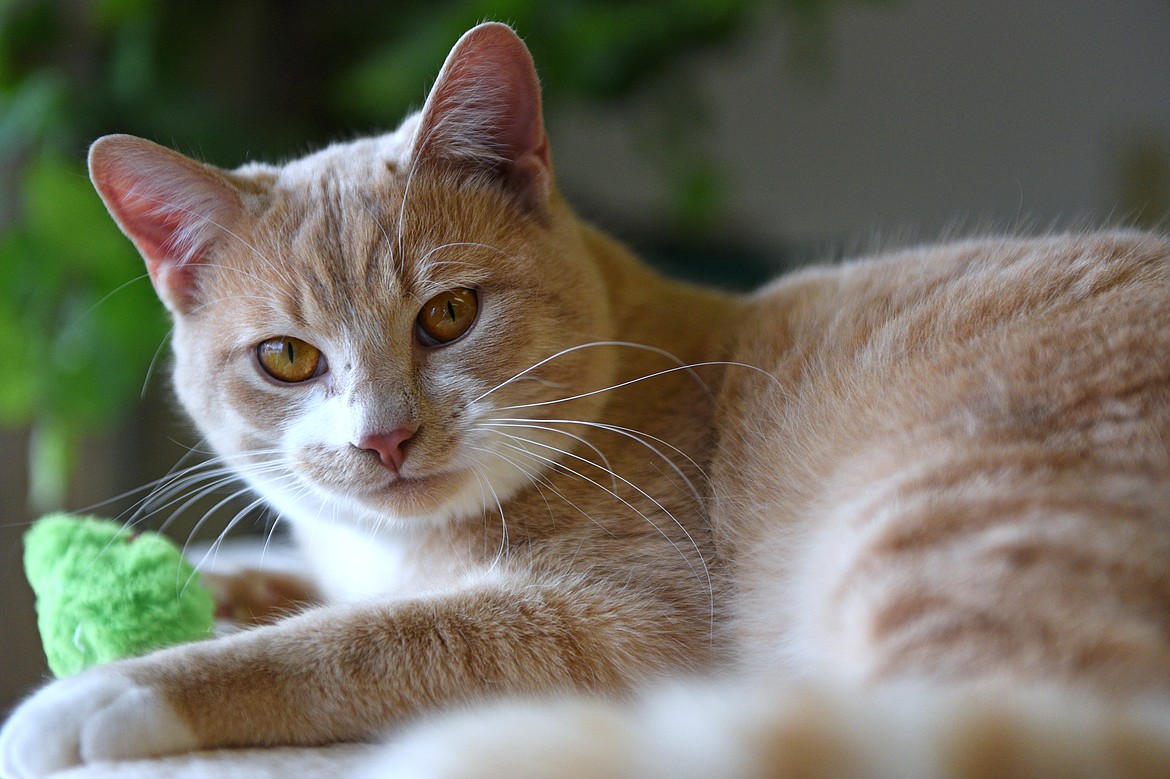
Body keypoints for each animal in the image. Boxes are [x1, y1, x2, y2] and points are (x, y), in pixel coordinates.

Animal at [2, 21, 1170, 771]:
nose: (386, 439)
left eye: (449, 313)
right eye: (287, 359)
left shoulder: (625, 621)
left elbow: (360, 639)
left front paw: (110, 687)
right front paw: (202, 577)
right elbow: (296, 581)